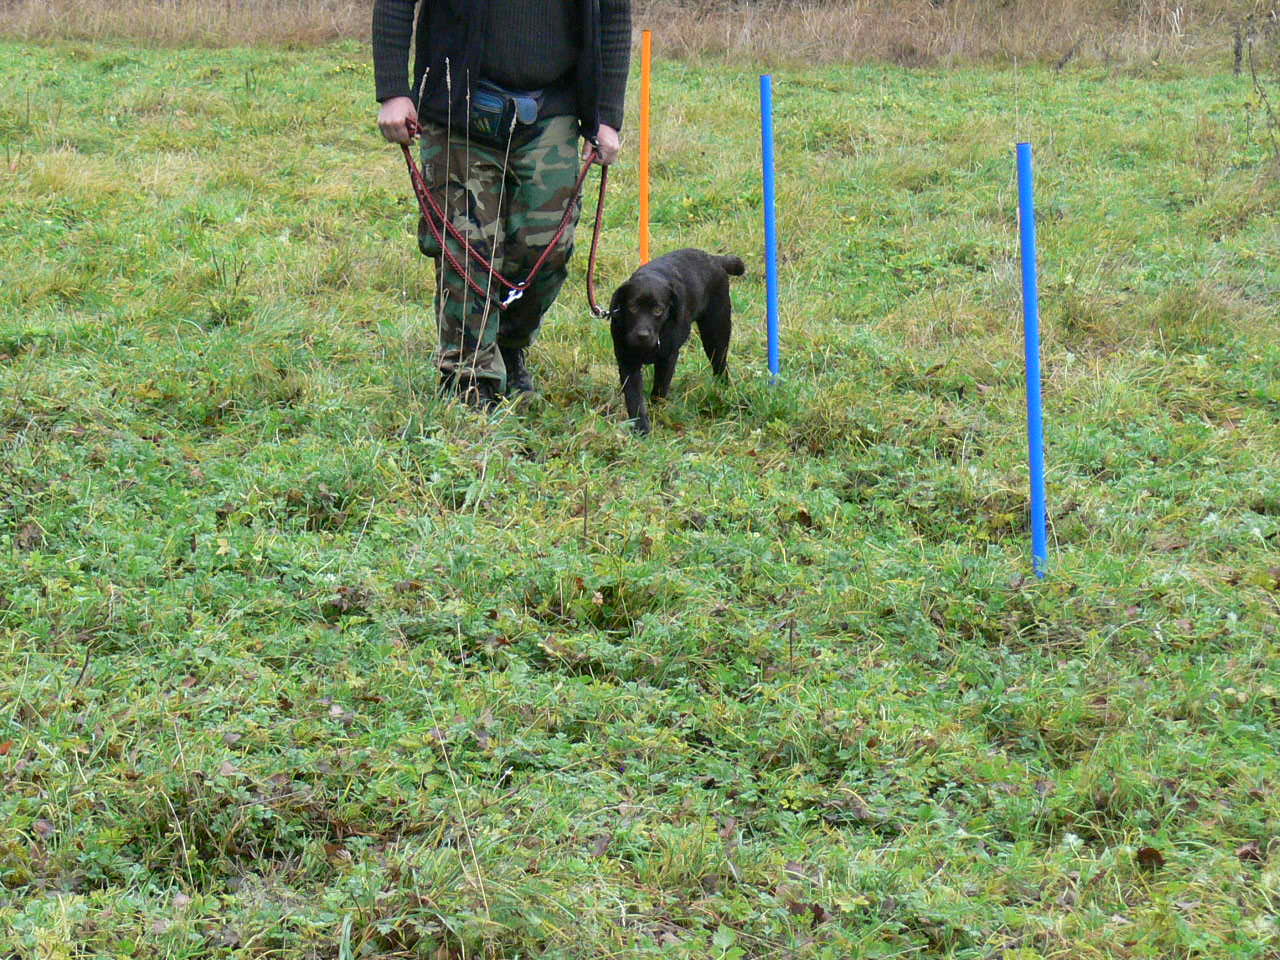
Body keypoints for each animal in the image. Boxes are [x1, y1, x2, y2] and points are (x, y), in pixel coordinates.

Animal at [606, 248, 747, 435]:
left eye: (658, 310)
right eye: (632, 307)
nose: (642, 335)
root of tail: (713, 258)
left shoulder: (668, 358)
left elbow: (659, 390)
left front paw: (657, 414)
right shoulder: (627, 361)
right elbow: (634, 397)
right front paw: (641, 428)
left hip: (716, 335)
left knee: (721, 366)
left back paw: (723, 392)